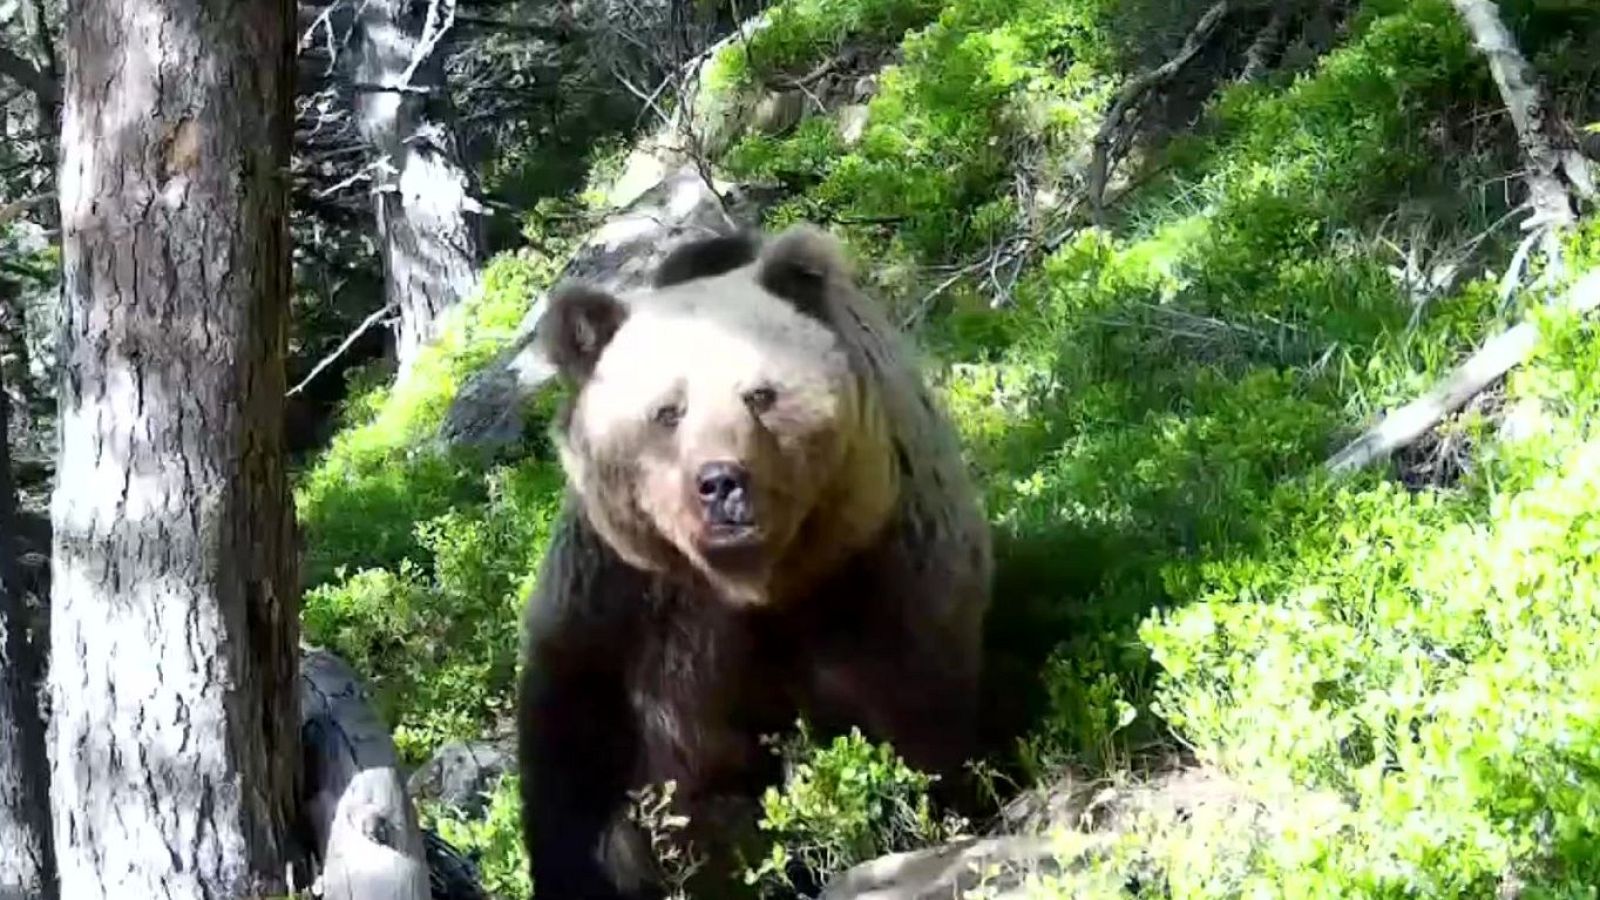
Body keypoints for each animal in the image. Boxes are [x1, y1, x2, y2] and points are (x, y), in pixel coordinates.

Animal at [516, 223, 993, 899]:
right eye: (667, 411)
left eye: (760, 395)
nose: (721, 483)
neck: (755, 584)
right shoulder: (627, 605)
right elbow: (581, 763)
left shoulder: (875, 570)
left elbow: (909, 722)